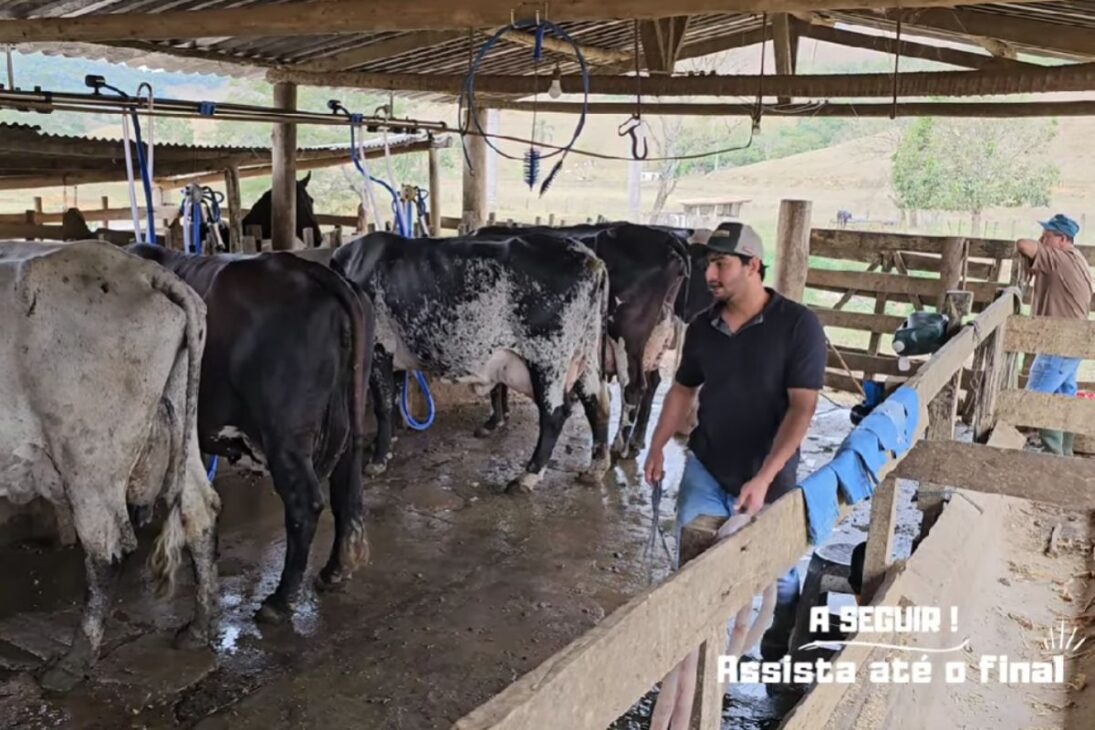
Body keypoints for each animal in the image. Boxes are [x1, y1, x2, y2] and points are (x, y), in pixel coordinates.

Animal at [0, 240, 220, 692]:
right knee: (199, 511)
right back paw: (198, 628)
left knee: (109, 549)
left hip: (88, 454)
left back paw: (74, 662)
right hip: (179, 422)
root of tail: (144, 272)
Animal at [127, 244, 372, 622]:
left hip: (285, 434)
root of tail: (309, 269)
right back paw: (333, 571)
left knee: (305, 504)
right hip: (346, 416)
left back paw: (279, 600)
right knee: (345, 490)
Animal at [330, 231, 611, 493]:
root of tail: (591, 260)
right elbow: (396, 397)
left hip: (547, 358)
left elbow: (384, 405)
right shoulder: (395, 354)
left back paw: (526, 477)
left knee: (554, 414)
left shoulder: (379, 347)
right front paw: (387, 444)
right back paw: (596, 468)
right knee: (596, 403)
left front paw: (378, 460)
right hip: (585, 353)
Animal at [472, 223, 712, 460]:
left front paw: (494, 420)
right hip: (655, 338)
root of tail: (667, 238)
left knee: (633, 387)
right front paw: (501, 416)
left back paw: (618, 448)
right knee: (652, 381)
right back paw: (636, 441)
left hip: (627, 336)